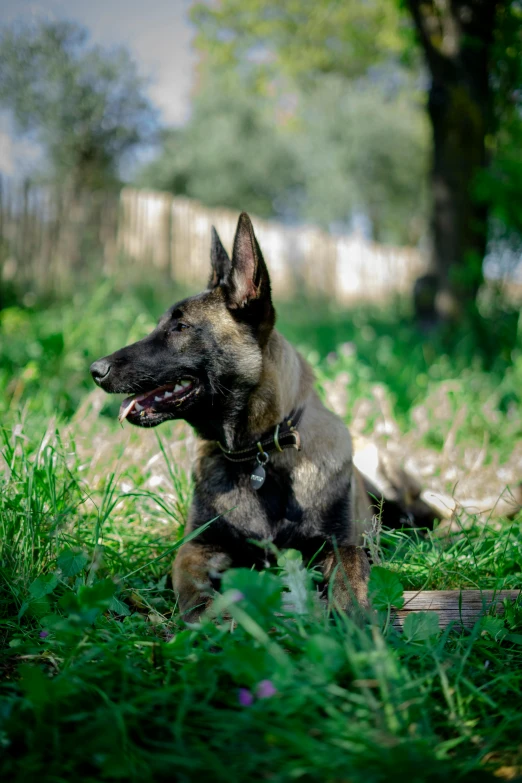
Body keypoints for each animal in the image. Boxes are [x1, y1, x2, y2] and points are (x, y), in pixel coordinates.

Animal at [90, 211, 434, 620]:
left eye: (180, 327)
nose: (95, 370)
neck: (258, 453)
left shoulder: (340, 545)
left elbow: (352, 572)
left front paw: (355, 622)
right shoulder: (199, 546)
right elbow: (192, 586)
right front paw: (210, 618)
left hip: (391, 488)